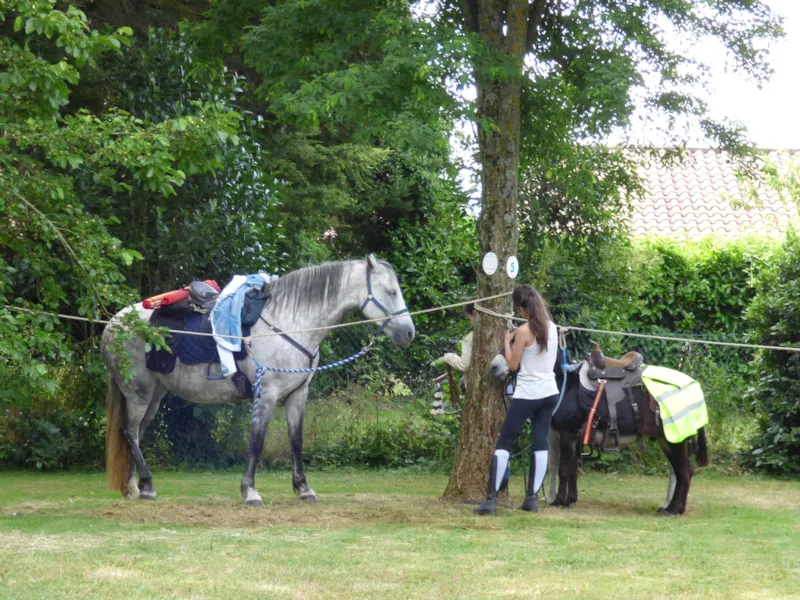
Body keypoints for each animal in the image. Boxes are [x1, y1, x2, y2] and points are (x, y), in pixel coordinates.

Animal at [102, 255, 415, 506]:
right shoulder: (266, 394)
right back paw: (147, 484)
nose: (408, 333)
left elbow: (296, 440)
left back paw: (136, 488)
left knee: (137, 434)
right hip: (139, 394)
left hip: (155, 395)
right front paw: (250, 491)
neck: (290, 324)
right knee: (130, 432)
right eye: (391, 291)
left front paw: (303, 489)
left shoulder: (297, 395)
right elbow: (256, 439)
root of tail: (114, 323)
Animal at [490, 350, 708, 516]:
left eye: (514, 340)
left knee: (684, 472)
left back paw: (673, 510)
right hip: (667, 440)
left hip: (675, 440)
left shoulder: (567, 433)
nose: (494, 367)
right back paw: (668, 506)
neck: (565, 382)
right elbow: (572, 469)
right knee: (678, 472)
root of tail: (694, 385)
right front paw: (571, 499)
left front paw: (560, 501)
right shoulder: (572, 436)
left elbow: (564, 469)